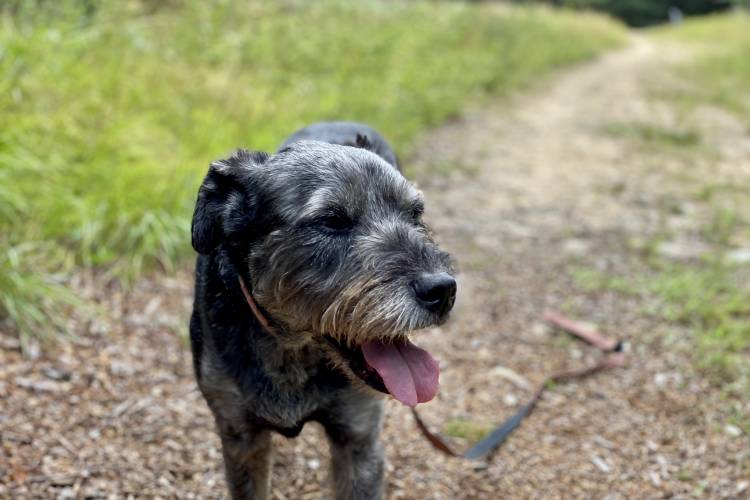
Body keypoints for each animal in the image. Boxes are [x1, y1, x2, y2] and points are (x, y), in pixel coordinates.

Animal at [191, 122, 456, 500]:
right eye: (332, 221)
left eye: (415, 214)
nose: (443, 290)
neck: (291, 347)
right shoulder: (240, 437)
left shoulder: (357, 441)